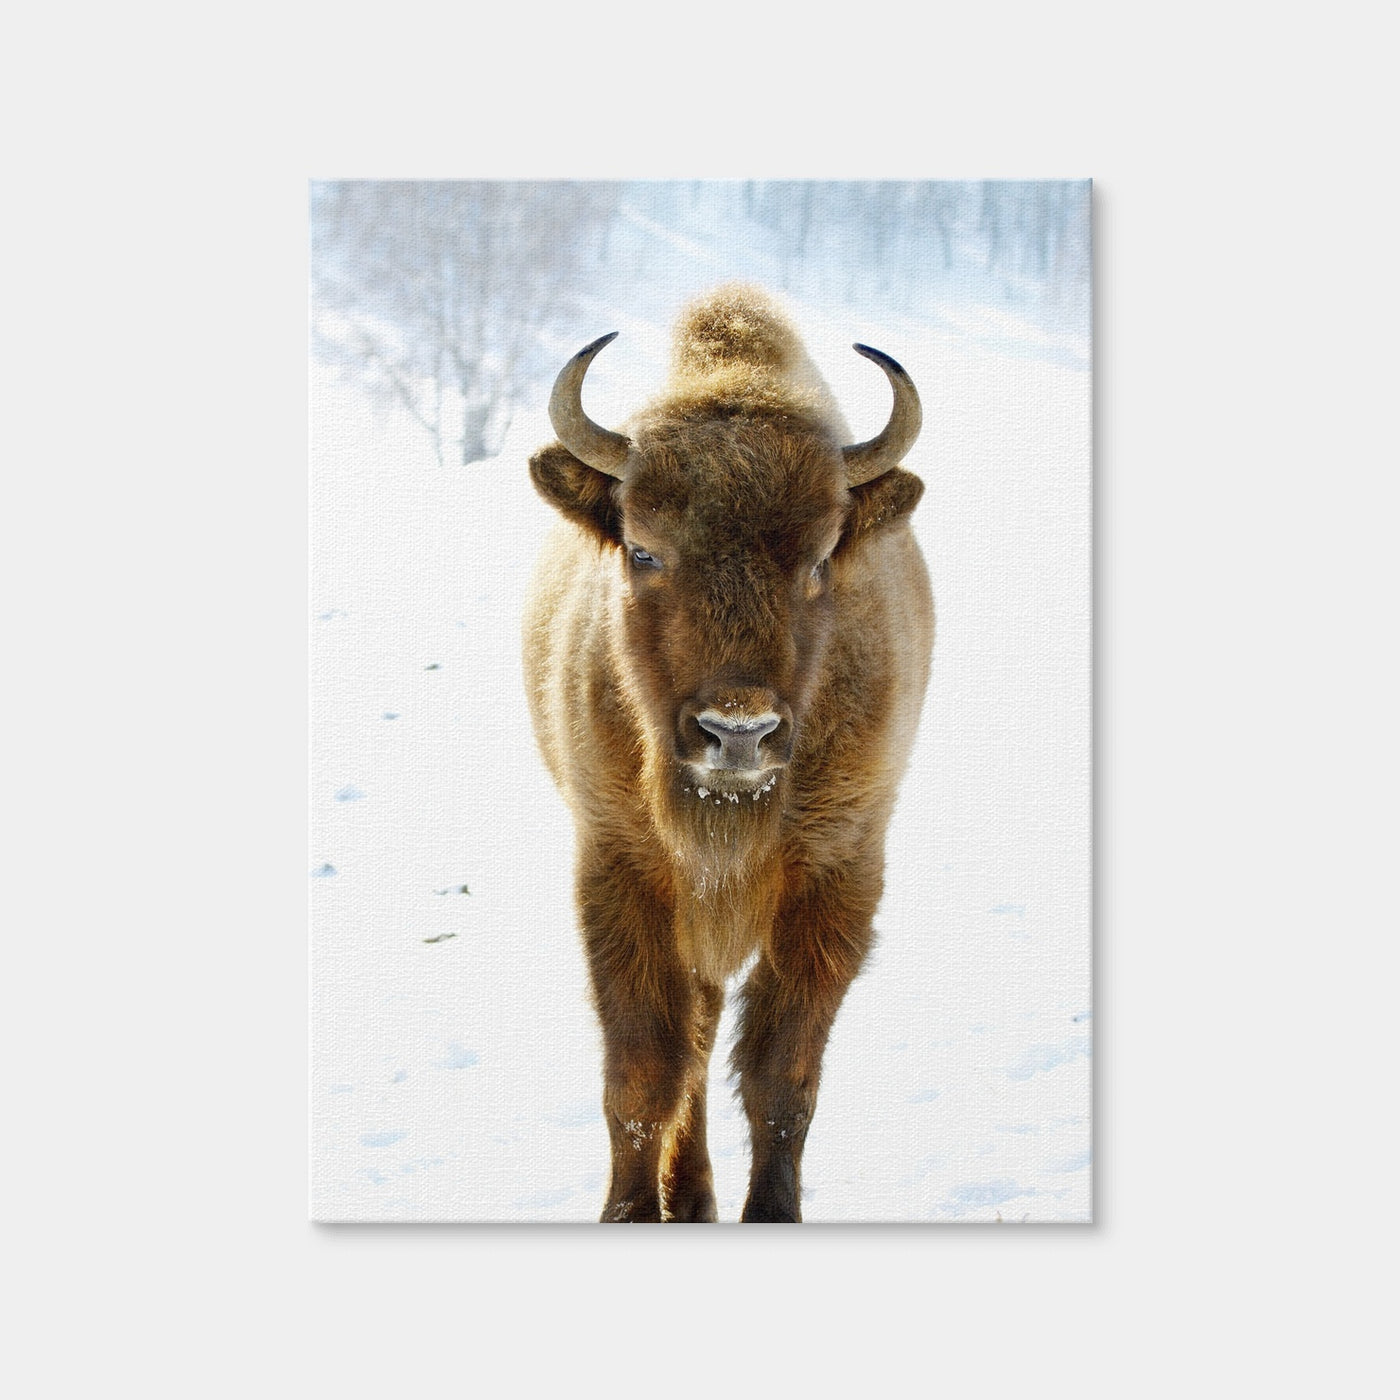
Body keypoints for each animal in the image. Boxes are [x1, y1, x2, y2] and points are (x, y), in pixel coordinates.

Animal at [523, 285, 933, 1221]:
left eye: (820, 559)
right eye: (642, 549)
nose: (737, 731)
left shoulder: (836, 876)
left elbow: (783, 1079)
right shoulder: (623, 869)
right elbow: (643, 1071)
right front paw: (631, 1214)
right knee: (694, 1043)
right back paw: (691, 1194)